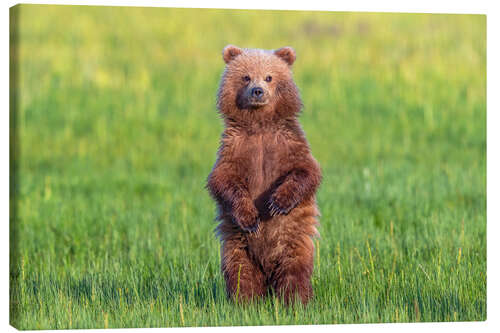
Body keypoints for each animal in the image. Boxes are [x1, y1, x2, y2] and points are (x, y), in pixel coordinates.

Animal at [206, 45, 320, 304]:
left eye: (269, 77)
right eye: (246, 76)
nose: (257, 91)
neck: (259, 125)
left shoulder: (288, 142)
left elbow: (305, 171)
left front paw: (278, 203)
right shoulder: (234, 147)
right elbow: (224, 180)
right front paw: (251, 218)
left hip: (293, 241)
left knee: (294, 271)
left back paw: (296, 301)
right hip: (237, 245)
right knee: (240, 272)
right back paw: (244, 302)